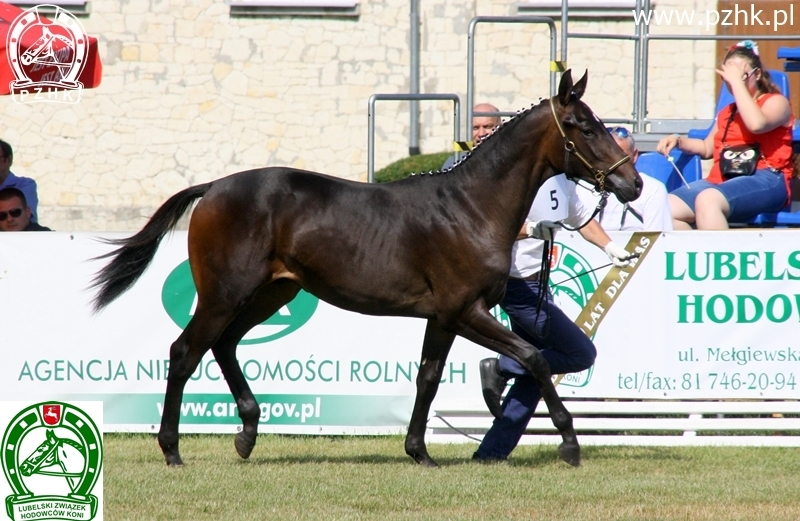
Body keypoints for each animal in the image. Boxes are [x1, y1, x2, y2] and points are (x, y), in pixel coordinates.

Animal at [90, 70, 640, 468]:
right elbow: (535, 357)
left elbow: (428, 377)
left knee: (223, 346)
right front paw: (570, 444)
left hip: (271, 294)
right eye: (585, 127)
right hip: (226, 294)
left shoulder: (443, 318)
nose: (632, 183)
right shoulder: (466, 311)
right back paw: (173, 450)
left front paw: (419, 453)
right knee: (185, 352)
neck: (470, 207)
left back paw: (247, 434)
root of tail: (213, 188)